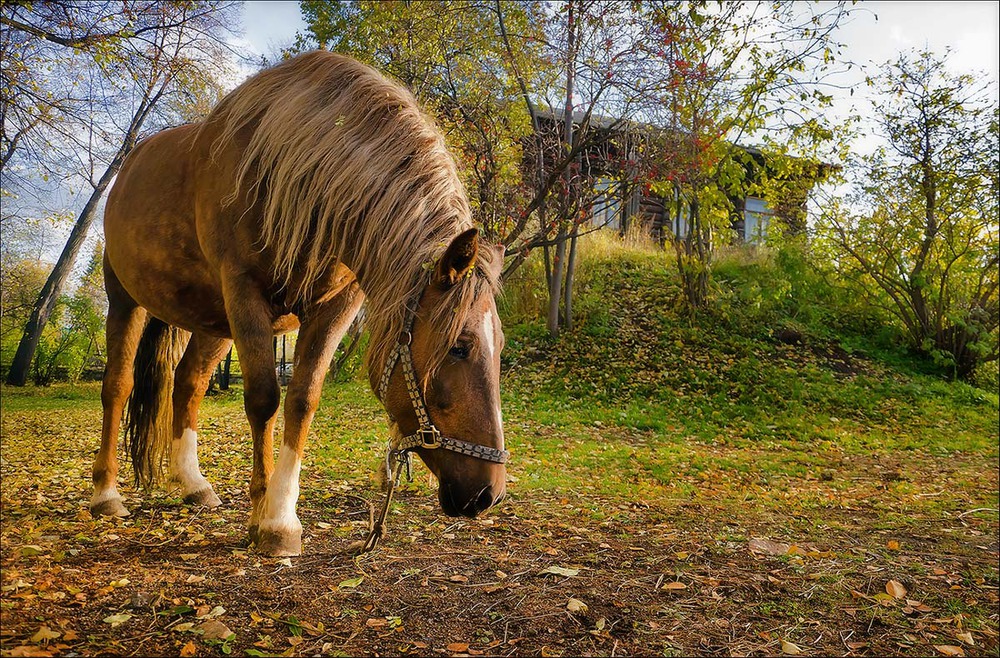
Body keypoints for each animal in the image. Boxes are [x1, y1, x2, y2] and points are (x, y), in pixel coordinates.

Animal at [88, 51, 508, 552]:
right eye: (460, 347)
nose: (487, 494)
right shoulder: (244, 291)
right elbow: (264, 399)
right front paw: (264, 516)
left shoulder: (336, 306)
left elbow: (302, 400)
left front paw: (280, 516)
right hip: (125, 299)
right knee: (117, 386)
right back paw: (105, 495)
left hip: (214, 322)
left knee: (187, 383)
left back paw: (194, 485)